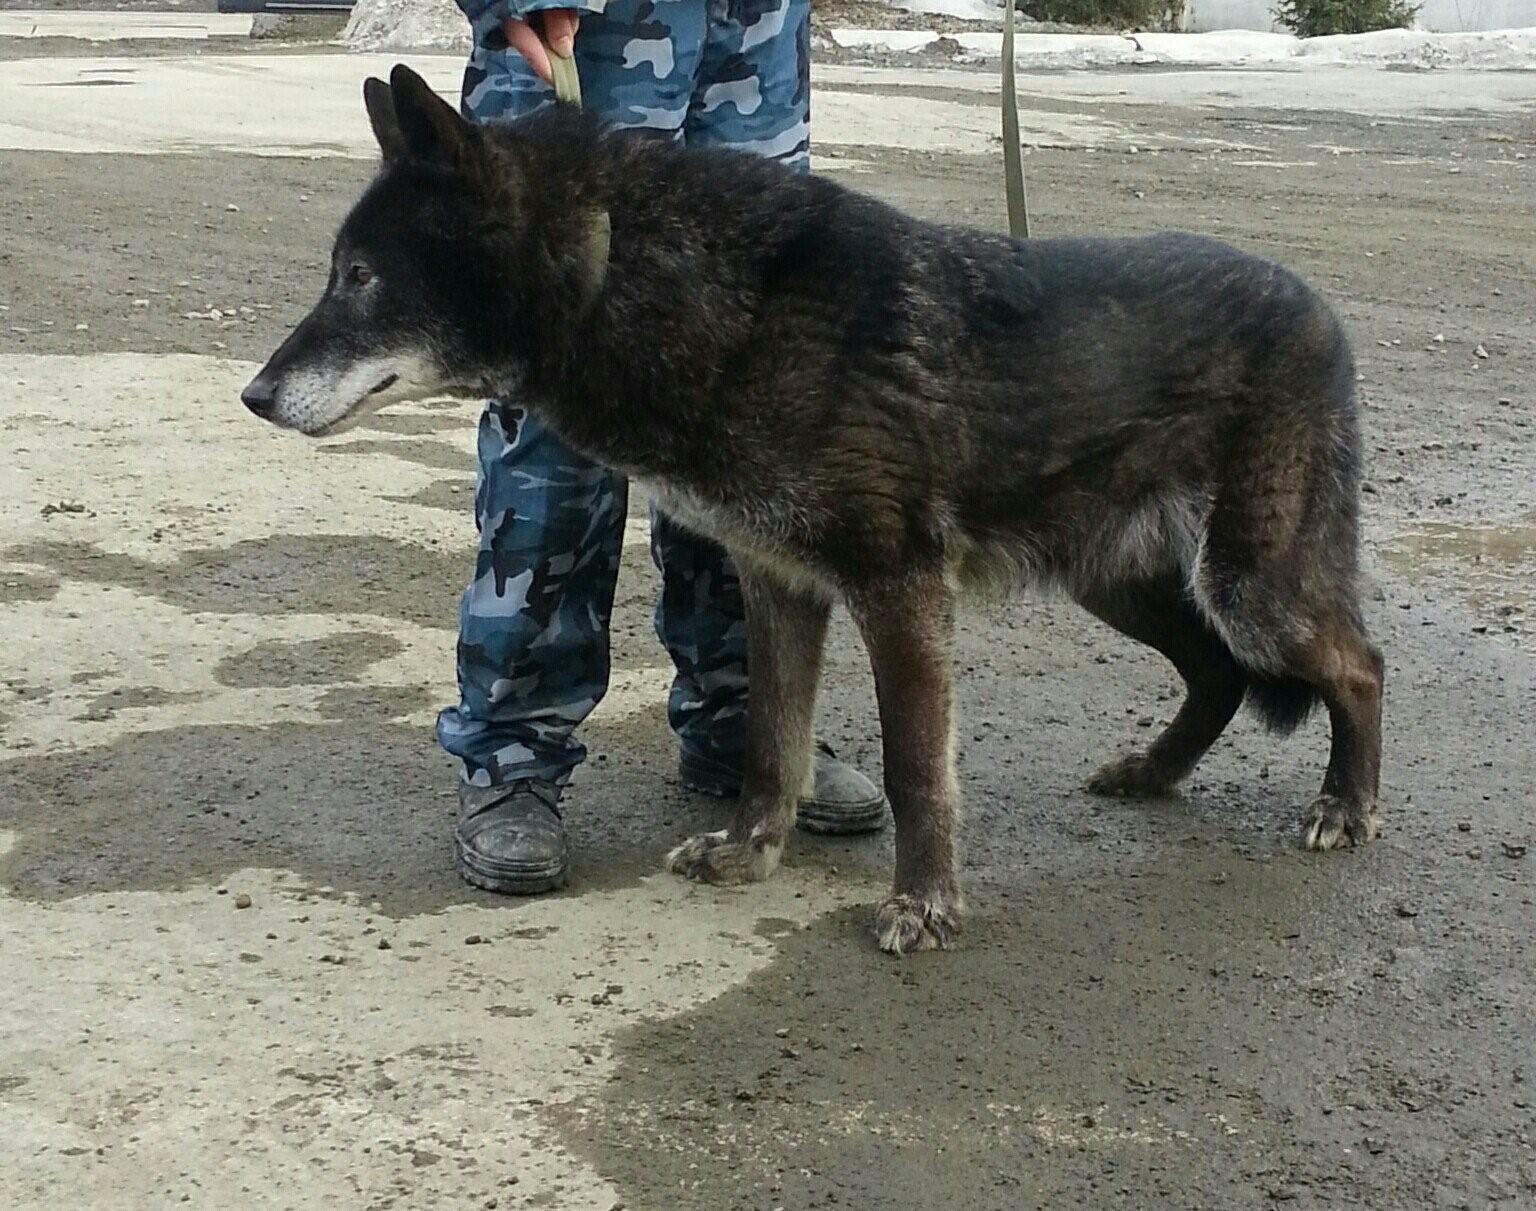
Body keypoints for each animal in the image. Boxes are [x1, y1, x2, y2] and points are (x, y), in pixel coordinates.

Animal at [245, 68, 1388, 952]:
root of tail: (1320, 305)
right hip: (1126, 584)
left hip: (1249, 586)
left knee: (1357, 664)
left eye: (359, 276)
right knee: (1217, 673)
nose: (254, 396)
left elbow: (917, 769)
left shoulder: (898, 591)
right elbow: (769, 743)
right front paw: (749, 850)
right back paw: (1155, 771)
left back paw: (1347, 804)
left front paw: (925, 907)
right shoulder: (779, 585)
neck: (634, 270)